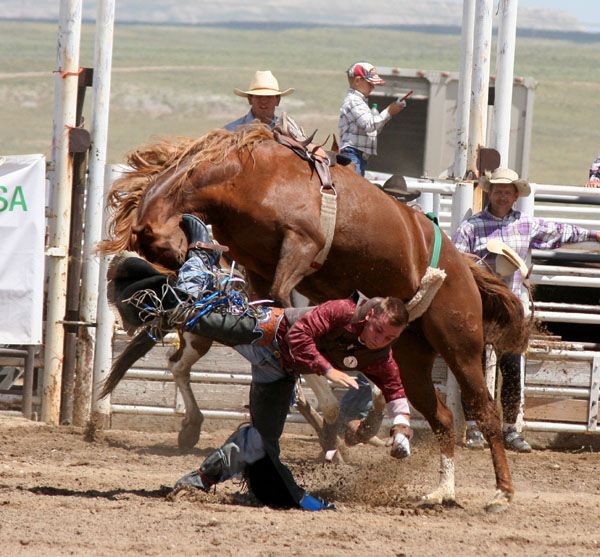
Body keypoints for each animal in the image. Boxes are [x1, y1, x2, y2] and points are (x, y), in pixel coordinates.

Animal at [101, 124, 528, 510]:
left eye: (168, 254)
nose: (174, 303)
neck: (245, 174)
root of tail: (462, 265)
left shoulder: (301, 246)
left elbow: (287, 314)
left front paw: (327, 408)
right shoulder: (258, 269)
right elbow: (277, 313)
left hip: (460, 343)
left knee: (485, 411)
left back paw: (501, 494)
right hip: (411, 357)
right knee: (441, 416)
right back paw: (441, 491)